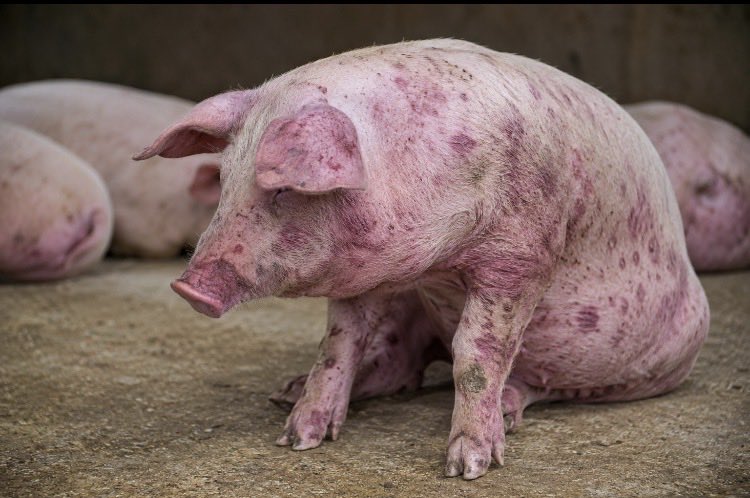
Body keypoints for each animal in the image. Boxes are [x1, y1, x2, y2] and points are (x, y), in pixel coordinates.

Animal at [135, 39, 710, 480]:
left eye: (280, 189)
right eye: (226, 180)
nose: (188, 287)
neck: (433, 258)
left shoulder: (524, 255)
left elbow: (477, 354)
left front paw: (468, 467)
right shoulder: (365, 277)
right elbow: (337, 344)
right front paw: (298, 438)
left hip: (653, 361)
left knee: (546, 383)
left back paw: (509, 408)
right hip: (410, 309)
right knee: (400, 365)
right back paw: (285, 392)